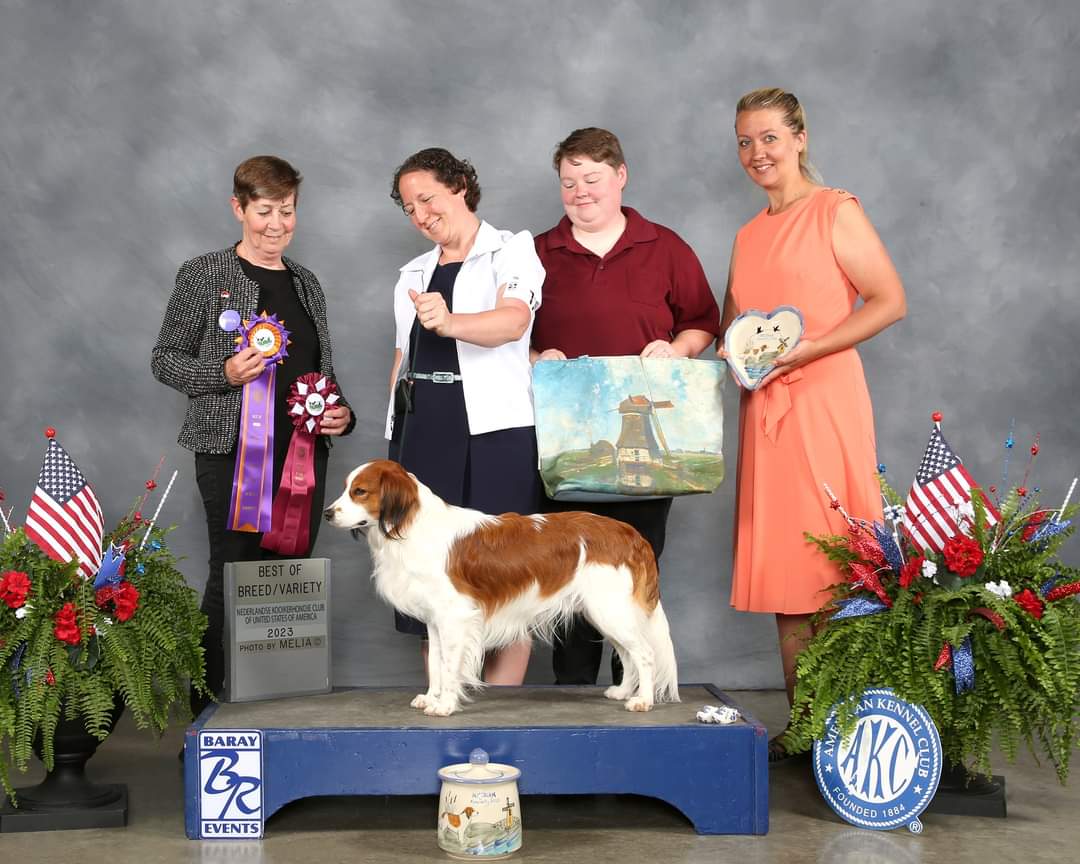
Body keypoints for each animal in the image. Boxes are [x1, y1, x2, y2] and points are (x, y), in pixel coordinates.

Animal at [319, 462, 678, 717]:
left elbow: (449, 665)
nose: (327, 513)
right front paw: (431, 697)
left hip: (610, 610)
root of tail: (629, 533)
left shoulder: (455, 617)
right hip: (605, 613)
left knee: (644, 654)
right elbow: (435, 662)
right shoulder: (435, 621)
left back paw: (642, 700)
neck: (414, 526)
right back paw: (623, 691)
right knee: (628, 654)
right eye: (347, 489)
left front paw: (445, 705)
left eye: (360, 491)